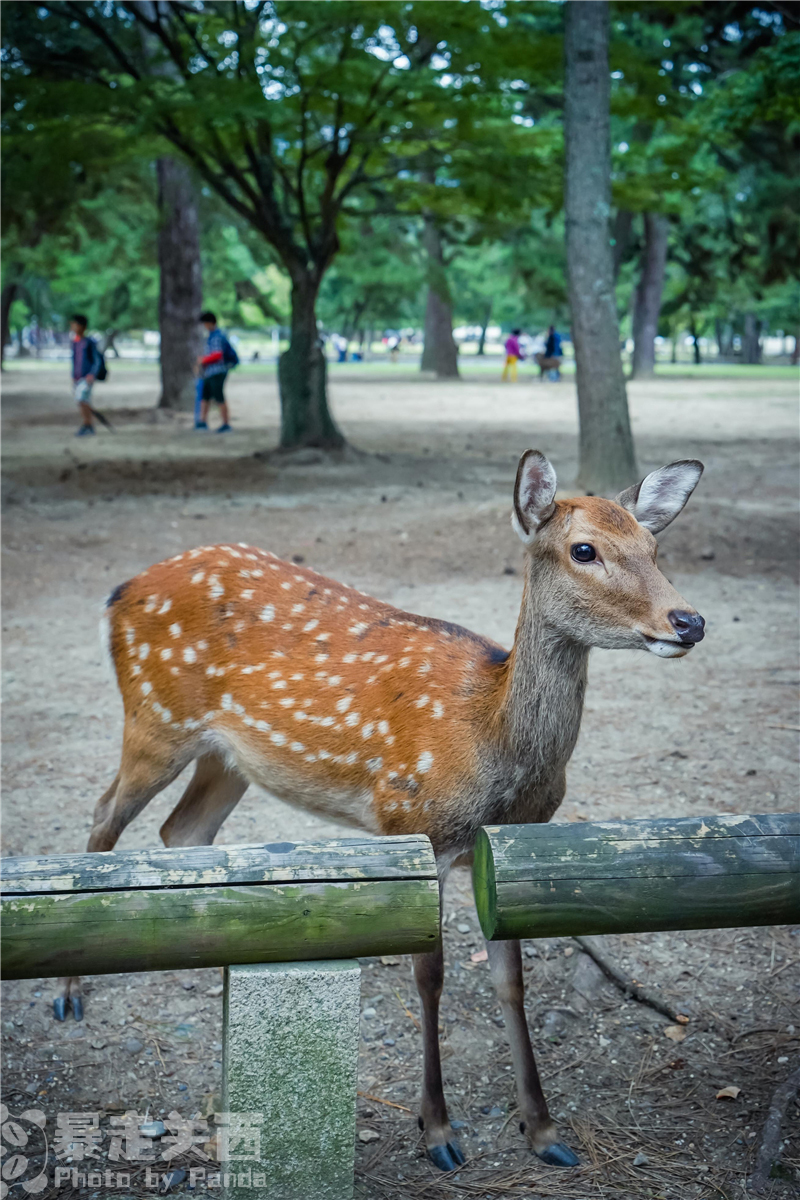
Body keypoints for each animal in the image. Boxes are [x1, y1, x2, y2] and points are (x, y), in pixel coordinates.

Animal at [61, 451, 705, 1171]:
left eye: (655, 546)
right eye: (583, 550)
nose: (688, 621)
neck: (488, 739)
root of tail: (119, 591)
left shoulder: (505, 850)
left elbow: (510, 981)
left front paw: (542, 1131)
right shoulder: (415, 824)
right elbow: (430, 978)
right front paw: (439, 1132)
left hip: (230, 757)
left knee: (184, 827)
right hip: (155, 717)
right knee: (104, 812)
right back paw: (70, 994)